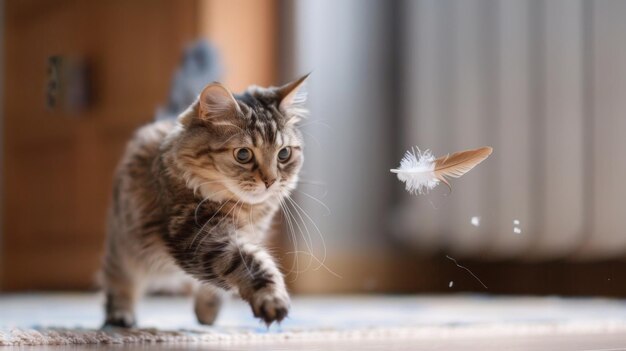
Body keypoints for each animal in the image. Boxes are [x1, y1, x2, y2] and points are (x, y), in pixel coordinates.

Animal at [101, 75, 308, 330]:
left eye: (284, 154)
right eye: (243, 155)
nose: (270, 181)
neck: (246, 210)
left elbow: (215, 288)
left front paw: (207, 313)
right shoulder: (198, 234)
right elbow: (250, 262)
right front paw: (271, 299)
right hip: (124, 249)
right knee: (118, 282)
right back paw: (120, 316)